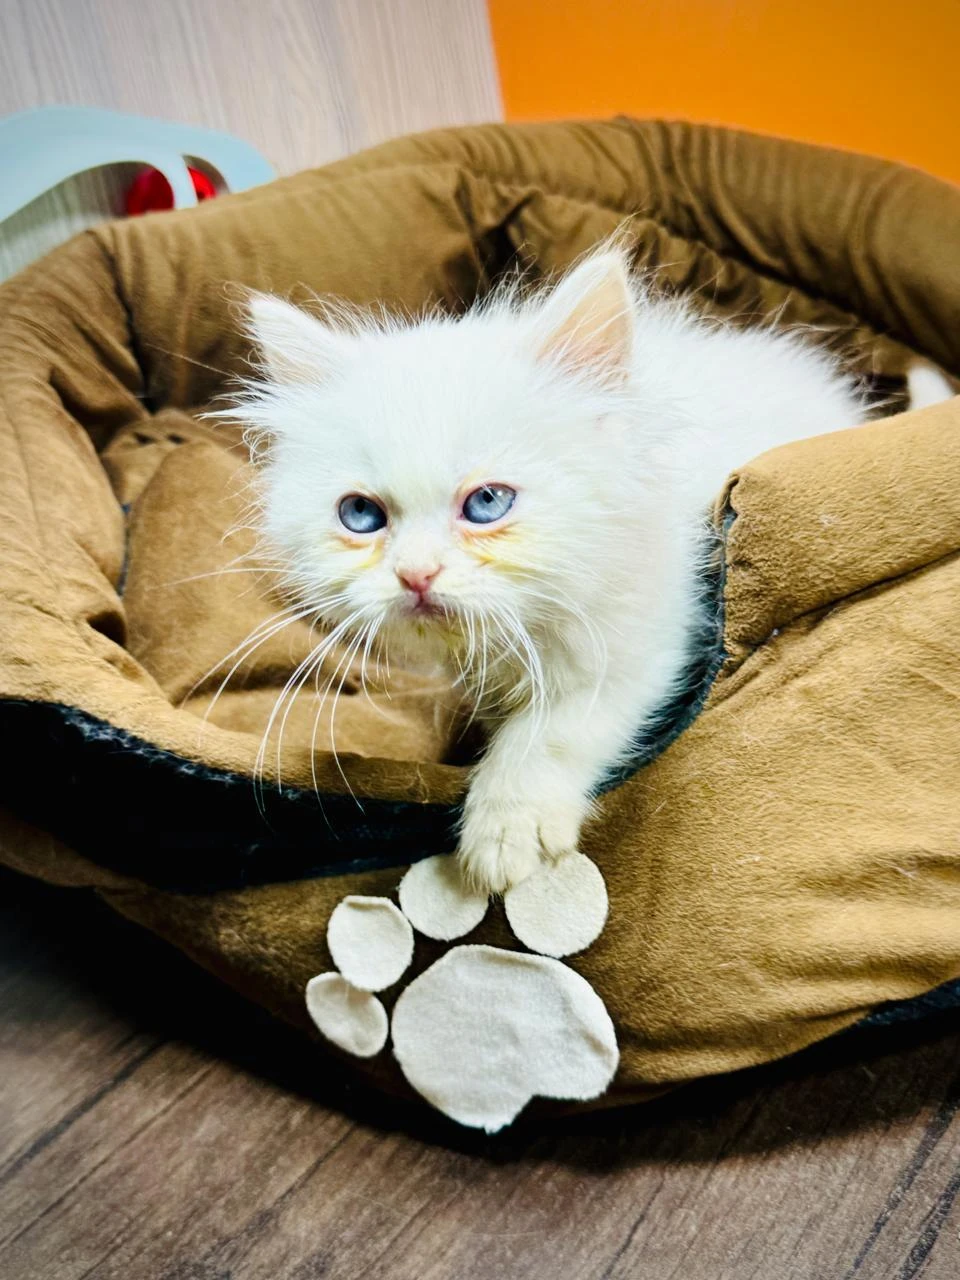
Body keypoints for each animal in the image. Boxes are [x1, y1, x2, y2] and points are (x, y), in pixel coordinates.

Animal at [232, 247, 957, 890]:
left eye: (487, 503)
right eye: (361, 515)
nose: (415, 576)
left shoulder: (651, 636)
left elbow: (552, 731)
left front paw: (505, 829)